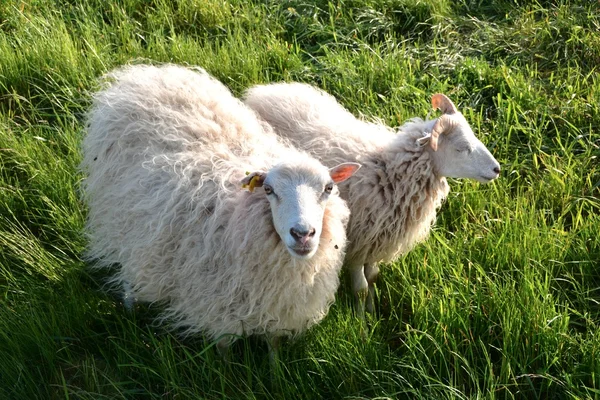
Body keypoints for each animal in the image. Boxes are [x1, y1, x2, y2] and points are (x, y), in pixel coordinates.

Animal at [79, 64, 360, 348]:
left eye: (328, 188)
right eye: (269, 190)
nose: (302, 234)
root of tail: (144, 74)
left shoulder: (277, 311)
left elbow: (273, 347)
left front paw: (275, 360)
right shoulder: (217, 305)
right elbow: (224, 350)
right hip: (121, 219)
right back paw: (130, 310)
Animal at [244, 83, 502, 316]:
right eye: (461, 147)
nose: (497, 169)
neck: (388, 173)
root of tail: (260, 90)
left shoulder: (377, 240)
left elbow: (374, 278)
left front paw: (373, 311)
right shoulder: (357, 243)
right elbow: (360, 288)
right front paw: (362, 324)